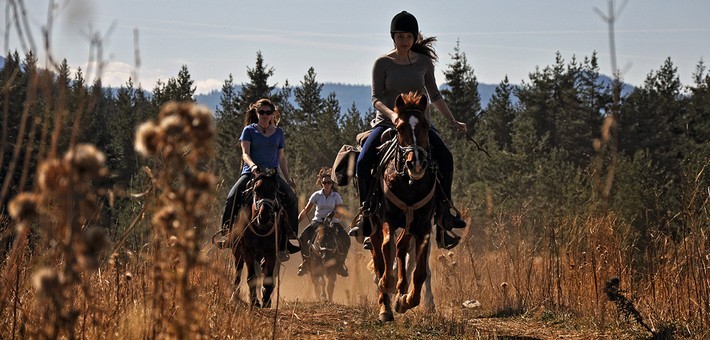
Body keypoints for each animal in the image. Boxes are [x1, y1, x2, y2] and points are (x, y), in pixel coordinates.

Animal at [227, 169, 286, 310]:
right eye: (256, 190)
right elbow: (251, 277)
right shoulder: (248, 251)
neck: (261, 228)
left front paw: (266, 300)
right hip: (237, 252)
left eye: (274, 191)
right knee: (237, 273)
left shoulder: (271, 252)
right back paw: (234, 297)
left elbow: (268, 277)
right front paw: (254, 301)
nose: (264, 217)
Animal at [370, 91, 436, 322]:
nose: (415, 163)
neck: (409, 183)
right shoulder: (387, 218)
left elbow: (420, 271)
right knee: (379, 255)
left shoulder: (423, 226)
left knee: (402, 248)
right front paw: (388, 283)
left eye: (425, 125)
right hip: (373, 224)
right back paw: (385, 307)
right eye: (399, 128)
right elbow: (386, 248)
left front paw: (407, 299)